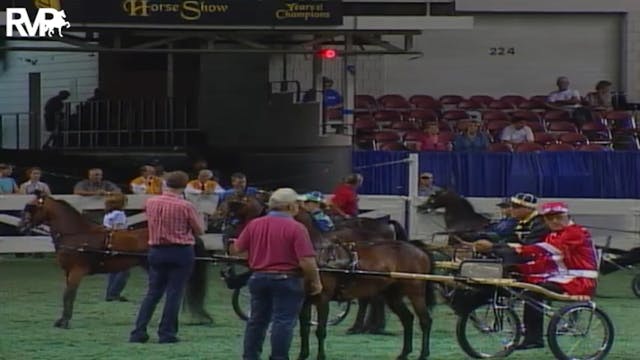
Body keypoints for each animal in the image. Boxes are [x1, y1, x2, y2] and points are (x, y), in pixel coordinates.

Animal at [17, 191, 211, 330]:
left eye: (31, 207)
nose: (21, 226)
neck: (77, 235)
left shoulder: (77, 271)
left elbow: (69, 295)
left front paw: (64, 322)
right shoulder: (68, 272)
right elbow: (67, 295)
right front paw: (62, 320)